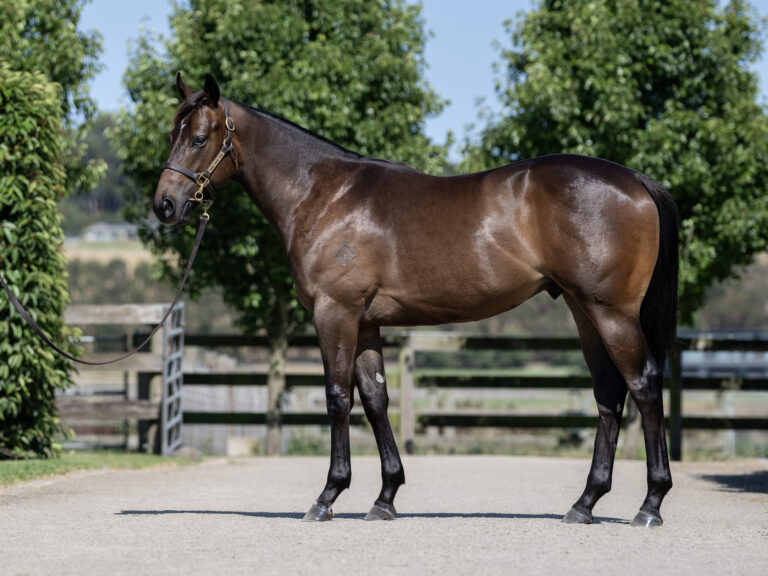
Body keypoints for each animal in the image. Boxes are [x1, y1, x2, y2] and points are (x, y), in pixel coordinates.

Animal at [154, 75, 680, 528]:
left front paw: (328, 496)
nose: (165, 205)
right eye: (172, 132)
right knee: (609, 394)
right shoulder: (365, 322)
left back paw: (650, 504)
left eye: (198, 137)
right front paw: (385, 497)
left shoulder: (335, 313)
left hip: (611, 313)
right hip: (583, 311)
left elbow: (338, 398)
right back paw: (585, 503)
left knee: (644, 385)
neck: (322, 194)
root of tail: (634, 178)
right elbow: (376, 399)